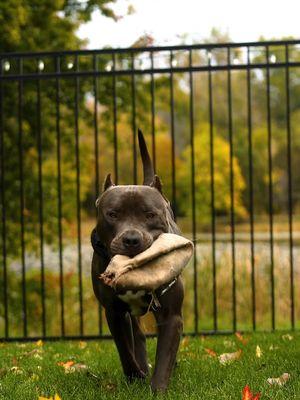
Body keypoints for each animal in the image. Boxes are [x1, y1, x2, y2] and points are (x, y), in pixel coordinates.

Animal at [91, 130, 184, 392]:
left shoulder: (171, 315)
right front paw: (135, 375)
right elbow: (125, 349)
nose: (131, 239)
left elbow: (165, 354)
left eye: (150, 214)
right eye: (112, 214)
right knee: (137, 337)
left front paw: (158, 388)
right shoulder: (113, 312)